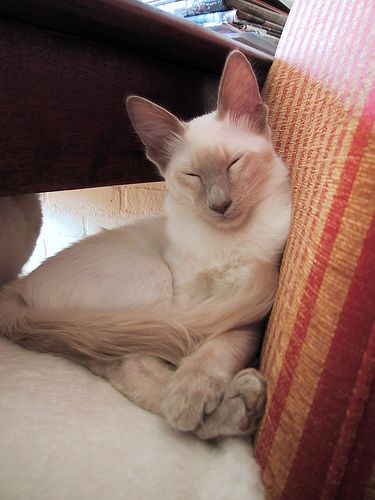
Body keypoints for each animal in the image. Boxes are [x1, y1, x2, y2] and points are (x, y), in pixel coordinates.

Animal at [0, 52, 290, 440]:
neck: (225, 242)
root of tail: (17, 286)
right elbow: (207, 344)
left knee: (113, 359)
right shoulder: (193, 301)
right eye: (193, 176)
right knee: (127, 359)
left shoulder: (249, 299)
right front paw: (190, 393)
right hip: (153, 283)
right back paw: (227, 405)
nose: (219, 205)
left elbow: (222, 344)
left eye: (234, 163)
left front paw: (193, 389)